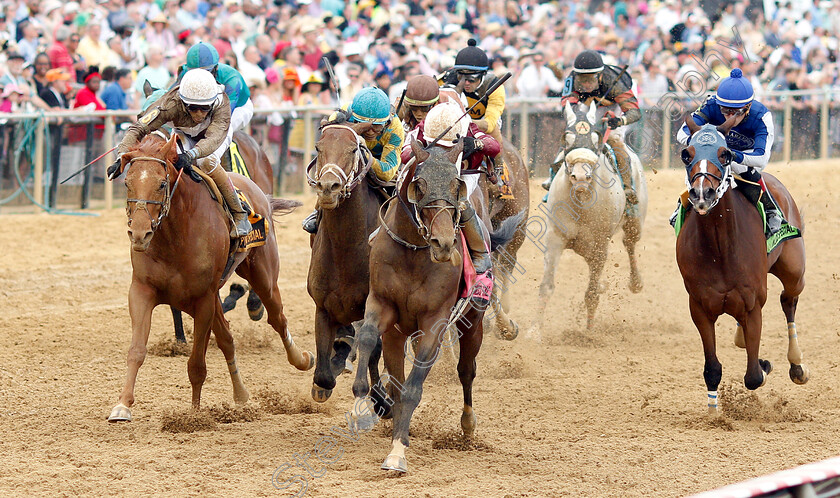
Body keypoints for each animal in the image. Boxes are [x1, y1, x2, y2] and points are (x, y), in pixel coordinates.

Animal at [108, 132, 312, 420]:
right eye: (127, 183)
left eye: (162, 183)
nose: (139, 234)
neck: (176, 235)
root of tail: (261, 194)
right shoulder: (142, 291)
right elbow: (137, 350)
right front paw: (123, 404)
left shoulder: (203, 299)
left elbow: (196, 364)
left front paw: (194, 416)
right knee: (228, 339)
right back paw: (241, 395)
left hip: (264, 276)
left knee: (277, 318)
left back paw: (302, 359)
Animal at [350, 138, 520, 472]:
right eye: (419, 184)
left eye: (456, 185)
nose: (443, 243)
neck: (414, 253)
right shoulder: (381, 304)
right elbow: (366, 337)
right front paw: (362, 403)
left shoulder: (434, 324)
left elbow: (414, 387)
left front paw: (397, 452)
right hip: (398, 334)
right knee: (396, 377)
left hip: (473, 323)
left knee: (466, 370)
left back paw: (467, 427)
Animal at [536, 101, 648, 332]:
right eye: (566, 138)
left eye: (596, 139)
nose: (580, 176)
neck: (581, 204)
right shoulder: (555, 239)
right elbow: (546, 287)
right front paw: (534, 331)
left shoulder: (599, 247)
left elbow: (591, 294)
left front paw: (588, 333)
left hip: (635, 223)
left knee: (629, 243)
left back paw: (635, 282)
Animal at [676, 115, 808, 412]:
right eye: (686, 154)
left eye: (724, 153)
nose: (702, 194)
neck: (719, 248)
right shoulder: (699, 306)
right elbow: (713, 369)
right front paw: (715, 414)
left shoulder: (752, 305)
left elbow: (754, 377)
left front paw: (764, 365)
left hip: (795, 271)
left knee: (788, 301)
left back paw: (797, 365)